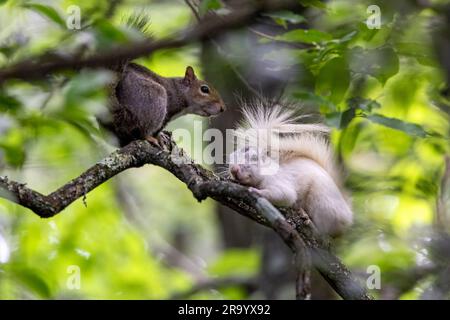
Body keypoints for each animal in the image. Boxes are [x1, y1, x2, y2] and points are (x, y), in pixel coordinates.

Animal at [230, 101, 354, 236]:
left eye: (253, 159)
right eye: (232, 157)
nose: (234, 169)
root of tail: (348, 213)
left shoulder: (279, 182)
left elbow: (284, 195)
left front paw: (257, 192)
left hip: (323, 203)